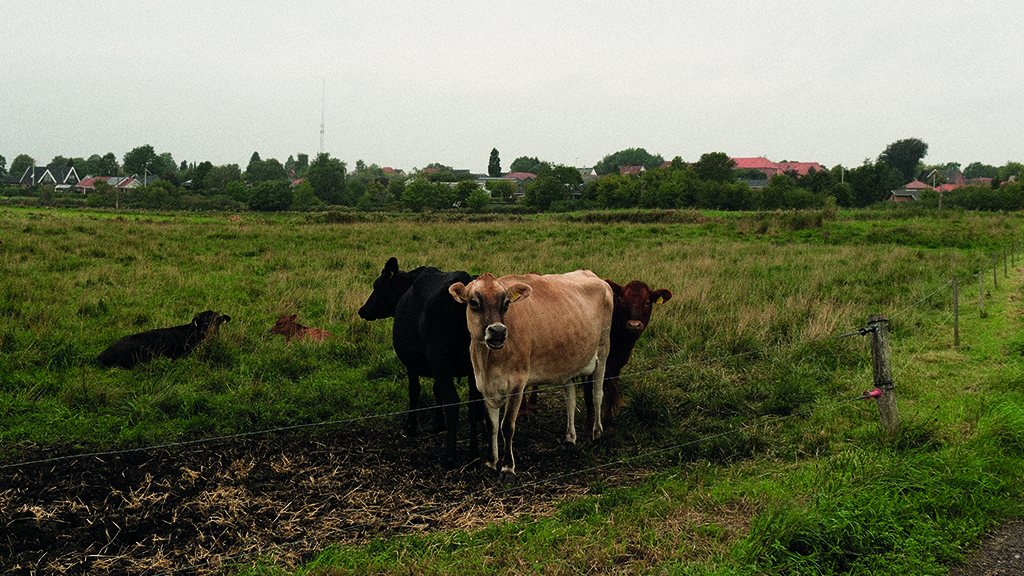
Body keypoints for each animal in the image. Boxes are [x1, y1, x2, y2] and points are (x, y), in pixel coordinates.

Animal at [358, 257, 484, 468]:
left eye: (378, 285)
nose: (362, 310)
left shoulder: (414, 362)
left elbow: (414, 390)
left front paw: (410, 426)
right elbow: (436, 391)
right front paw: (438, 423)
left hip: (440, 358)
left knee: (453, 401)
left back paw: (449, 456)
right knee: (474, 404)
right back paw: (474, 454)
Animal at [448, 270, 613, 484]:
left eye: (506, 303)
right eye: (474, 302)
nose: (498, 331)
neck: (488, 362)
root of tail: (593, 275)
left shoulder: (517, 384)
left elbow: (507, 426)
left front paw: (507, 469)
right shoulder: (483, 386)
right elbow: (492, 425)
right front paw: (490, 464)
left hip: (603, 350)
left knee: (597, 394)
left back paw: (597, 433)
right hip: (568, 361)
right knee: (570, 396)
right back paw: (570, 439)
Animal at [582, 280, 673, 435]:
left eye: (647, 302)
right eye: (623, 301)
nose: (634, 325)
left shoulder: (616, 366)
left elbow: (609, 394)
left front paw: (608, 423)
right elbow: (589, 396)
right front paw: (588, 429)